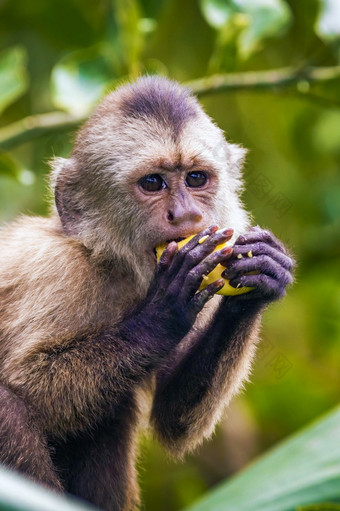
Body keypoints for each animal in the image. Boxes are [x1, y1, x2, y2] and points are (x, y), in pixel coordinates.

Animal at [0, 76, 294, 511]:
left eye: (195, 179)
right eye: (153, 183)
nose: (186, 215)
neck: (111, 264)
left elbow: (173, 419)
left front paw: (258, 282)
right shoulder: (57, 272)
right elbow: (28, 385)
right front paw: (164, 315)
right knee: (12, 410)